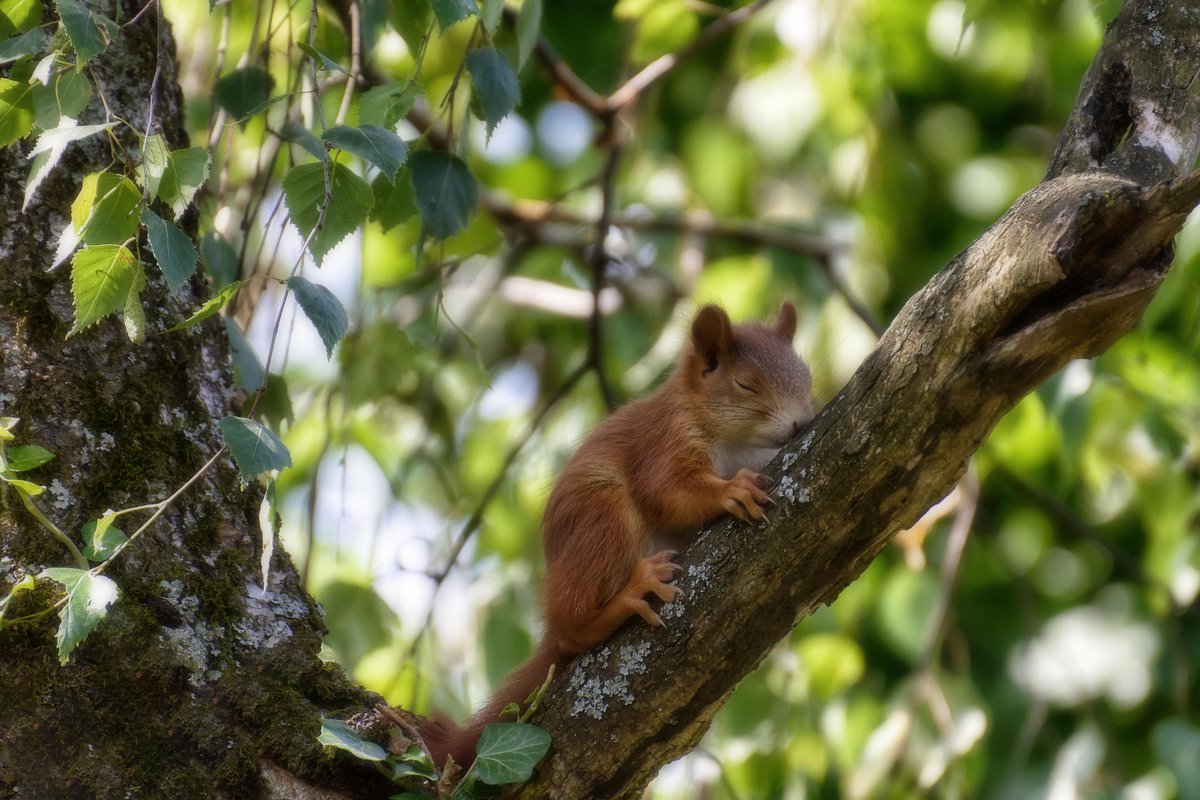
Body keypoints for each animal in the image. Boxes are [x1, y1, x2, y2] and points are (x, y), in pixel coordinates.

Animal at [418, 302, 815, 769]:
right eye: (745, 385)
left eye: (807, 376)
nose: (802, 422)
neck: (734, 441)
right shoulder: (664, 442)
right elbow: (667, 491)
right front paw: (728, 491)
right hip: (604, 519)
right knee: (572, 628)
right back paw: (626, 596)